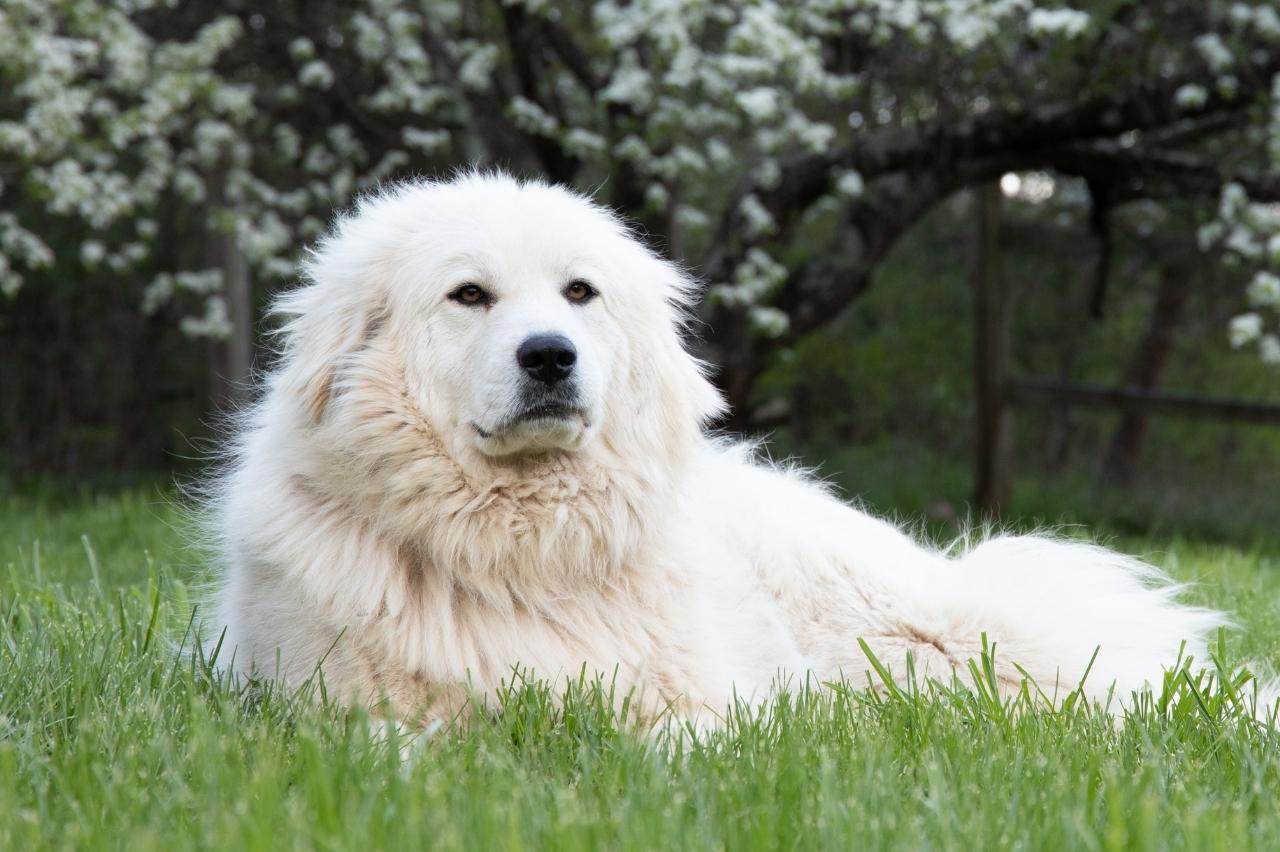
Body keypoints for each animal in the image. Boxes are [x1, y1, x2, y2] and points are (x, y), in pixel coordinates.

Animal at [212, 172, 1228, 721]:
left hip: (949, 635)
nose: (550, 356)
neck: (524, 549)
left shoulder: (706, 705)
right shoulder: (334, 705)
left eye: (579, 293)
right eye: (469, 296)